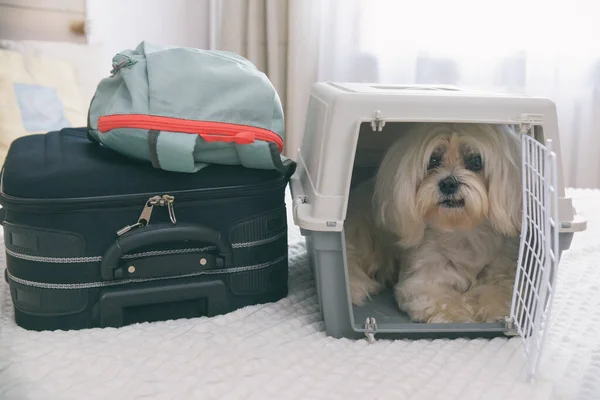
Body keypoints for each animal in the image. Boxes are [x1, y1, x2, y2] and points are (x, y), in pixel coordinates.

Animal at [344, 122, 524, 324]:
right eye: (433, 160)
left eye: (476, 161)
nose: (448, 183)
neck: (463, 229)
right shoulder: (425, 278)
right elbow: (441, 300)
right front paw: (457, 315)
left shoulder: (503, 268)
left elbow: (501, 290)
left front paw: (495, 310)